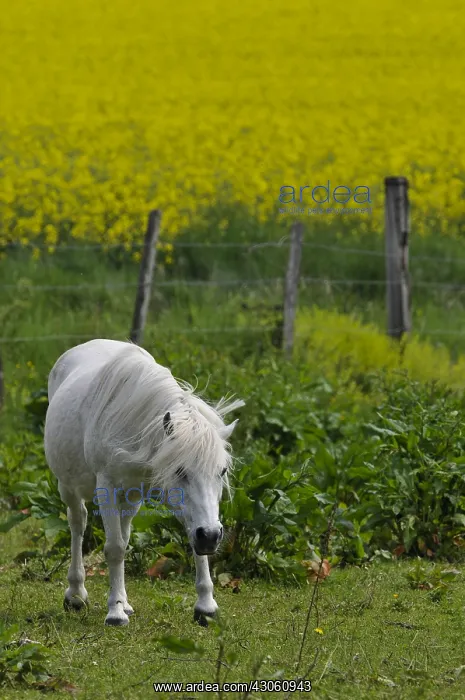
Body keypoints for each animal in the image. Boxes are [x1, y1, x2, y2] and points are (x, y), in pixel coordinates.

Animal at [44, 338, 243, 627]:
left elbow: (192, 543)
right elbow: (114, 548)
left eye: (222, 471)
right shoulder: (107, 488)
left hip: (130, 498)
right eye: (180, 471)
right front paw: (115, 612)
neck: (138, 426)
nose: (211, 536)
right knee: (77, 523)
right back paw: (76, 594)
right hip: (68, 486)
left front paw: (206, 606)